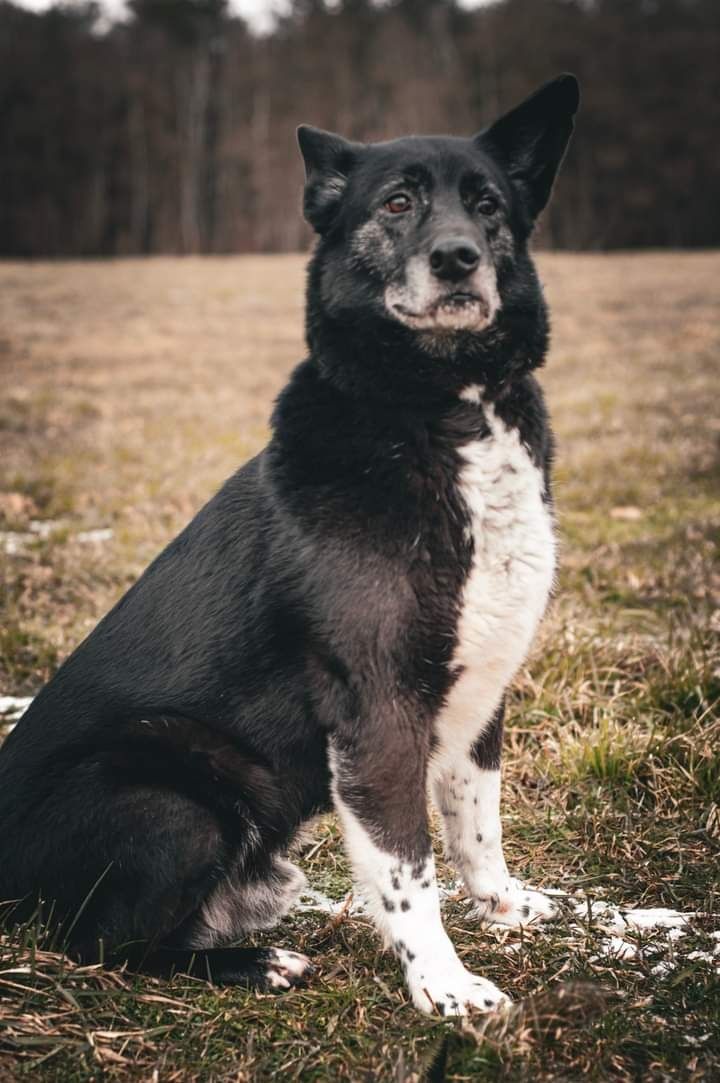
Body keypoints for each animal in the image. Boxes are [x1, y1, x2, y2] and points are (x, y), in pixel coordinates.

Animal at [0, 76, 580, 1013]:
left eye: (487, 203)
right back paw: (255, 962)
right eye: (398, 202)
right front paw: (445, 987)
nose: (459, 258)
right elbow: (408, 867)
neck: (442, 407)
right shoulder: (378, 708)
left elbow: (475, 821)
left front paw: (501, 906)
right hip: (173, 795)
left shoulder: (480, 689)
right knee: (104, 945)